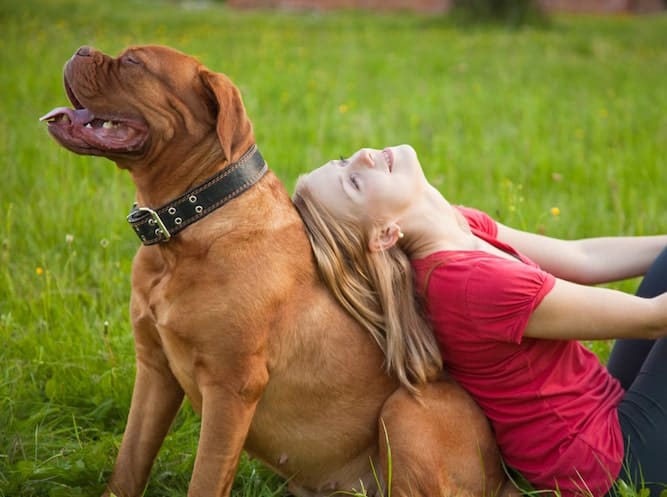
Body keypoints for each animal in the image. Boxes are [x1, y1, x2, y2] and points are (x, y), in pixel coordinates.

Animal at [41, 45, 512, 496]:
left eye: (134, 63)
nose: (81, 49)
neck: (186, 231)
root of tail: (501, 474)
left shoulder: (232, 388)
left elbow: (205, 480)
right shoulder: (155, 371)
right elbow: (129, 464)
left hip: (404, 411)